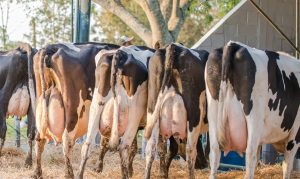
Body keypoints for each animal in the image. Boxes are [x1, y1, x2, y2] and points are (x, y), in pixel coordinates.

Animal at [31, 42, 118, 178]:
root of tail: (51, 47)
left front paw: (98, 168)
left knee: (39, 138)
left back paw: (37, 173)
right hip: (73, 107)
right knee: (67, 139)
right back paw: (69, 173)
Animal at [144, 42, 210, 178]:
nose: (203, 165)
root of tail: (173, 46)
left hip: (153, 111)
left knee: (150, 150)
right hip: (194, 116)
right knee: (190, 151)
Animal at [205, 40, 300, 179]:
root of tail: (233, 44)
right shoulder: (295, 135)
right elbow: (287, 165)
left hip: (212, 112)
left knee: (214, 153)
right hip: (253, 117)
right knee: (250, 154)